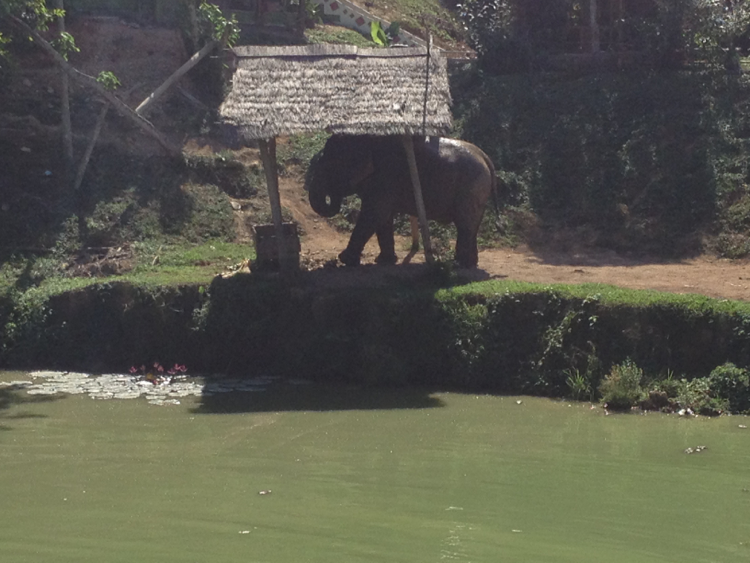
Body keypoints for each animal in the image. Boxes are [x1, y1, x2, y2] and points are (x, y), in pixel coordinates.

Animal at [306, 135, 500, 270]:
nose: (334, 195)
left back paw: (458, 265)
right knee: (472, 226)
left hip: (471, 186)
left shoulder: (385, 178)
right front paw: (384, 261)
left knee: (465, 225)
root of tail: (486, 158)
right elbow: (383, 219)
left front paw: (345, 260)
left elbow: (374, 214)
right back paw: (470, 264)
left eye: (329, 166)